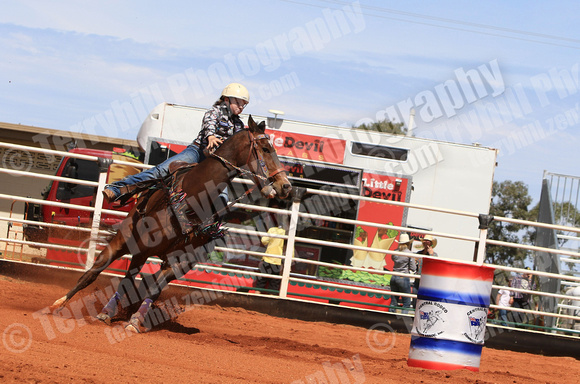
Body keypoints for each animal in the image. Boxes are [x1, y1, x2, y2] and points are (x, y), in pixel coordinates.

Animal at [50, 115, 292, 332]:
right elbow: (110, 276)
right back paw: (69, 304)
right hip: (127, 240)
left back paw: (110, 311)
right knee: (100, 271)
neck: (191, 198)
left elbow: (153, 289)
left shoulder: (179, 261)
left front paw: (135, 322)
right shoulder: (137, 245)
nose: (286, 186)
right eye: (266, 149)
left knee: (133, 279)